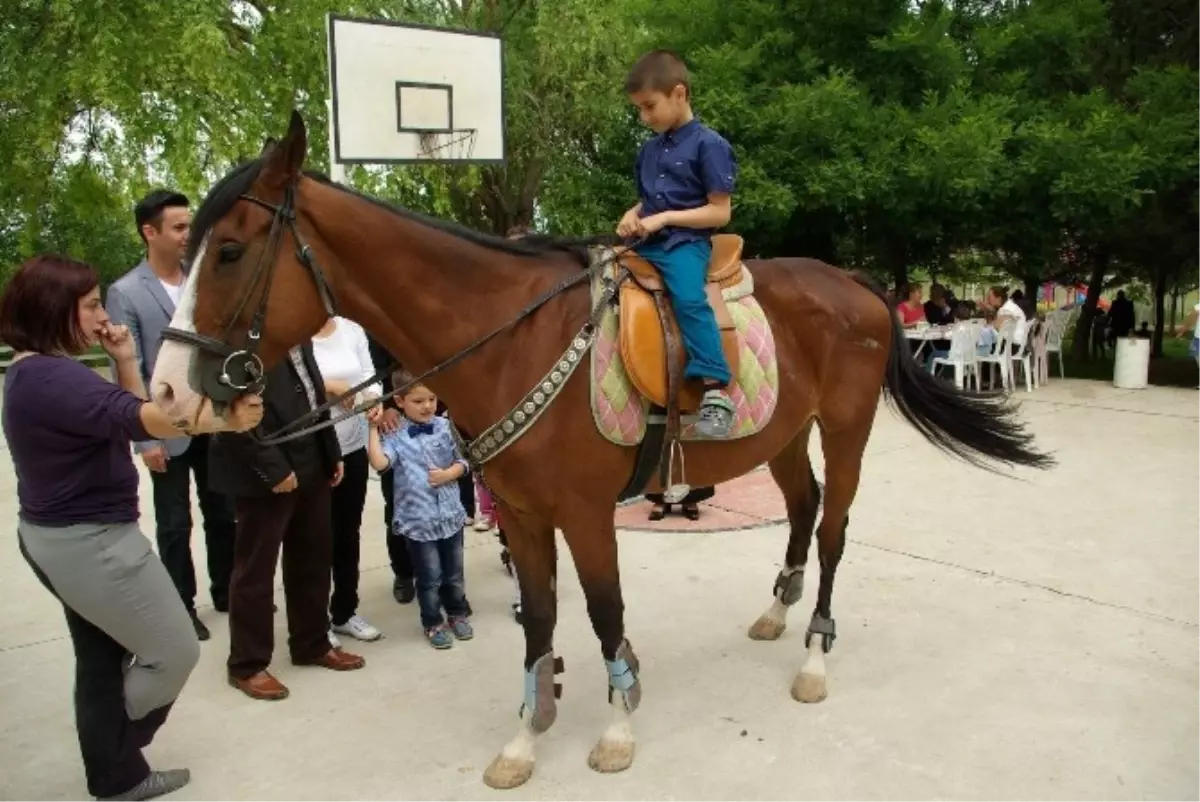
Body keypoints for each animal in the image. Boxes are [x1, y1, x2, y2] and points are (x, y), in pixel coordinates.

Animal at [150, 112, 1051, 787]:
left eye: (228, 251)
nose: (164, 394)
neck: (510, 337)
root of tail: (856, 283)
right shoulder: (519, 513)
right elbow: (541, 617)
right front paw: (528, 730)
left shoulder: (584, 512)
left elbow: (604, 611)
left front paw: (617, 726)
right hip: (786, 435)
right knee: (803, 508)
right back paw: (775, 610)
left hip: (847, 424)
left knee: (832, 530)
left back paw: (815, 656)